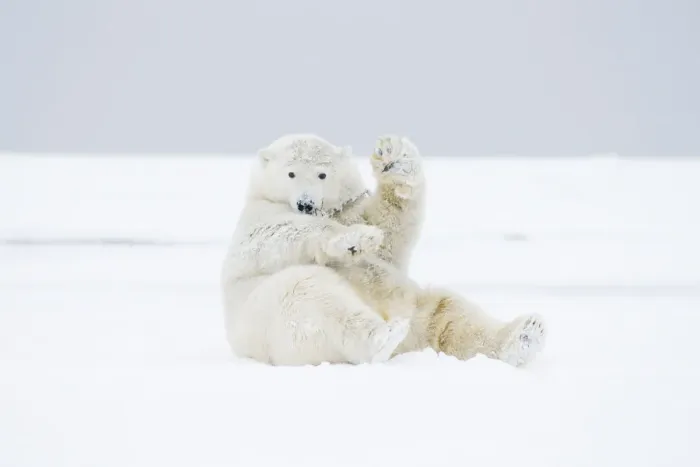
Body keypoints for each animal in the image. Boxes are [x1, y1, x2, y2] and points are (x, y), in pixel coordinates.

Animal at [221, 133, 546, 367]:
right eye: (290, 174)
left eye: (322, 175)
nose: (306, 203)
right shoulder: (257, 217)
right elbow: (270, 235)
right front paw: (354, 239)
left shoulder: (352, 211)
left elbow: (390, 232)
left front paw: (394, 158)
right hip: (278, 321)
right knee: (311, 297)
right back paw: (383, 336)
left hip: (415, 304)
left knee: (451, 314)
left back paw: (523, 335)